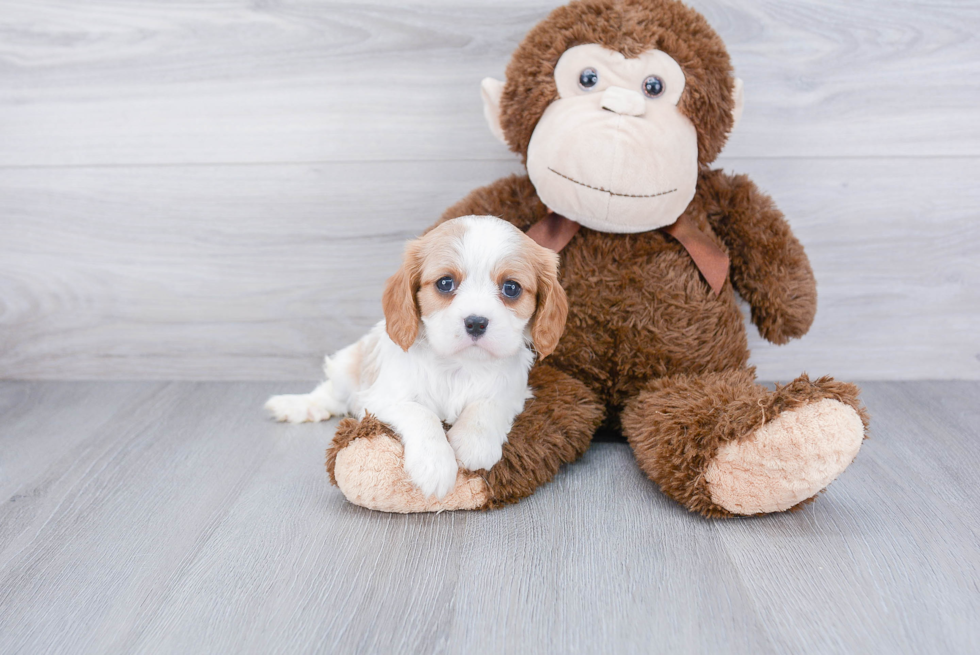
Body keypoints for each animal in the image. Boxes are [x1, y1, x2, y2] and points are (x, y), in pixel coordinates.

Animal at [264, 214, 572, 498]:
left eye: (511, 288)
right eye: (445, 283)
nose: (476, 322)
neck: (460, 365)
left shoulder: (513, 391)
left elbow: (487, 405)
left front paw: (473, 443)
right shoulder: (381, 398)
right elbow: (421, 413)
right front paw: (435, 465)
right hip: (347, 366)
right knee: (330, 394)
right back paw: (298, 406)